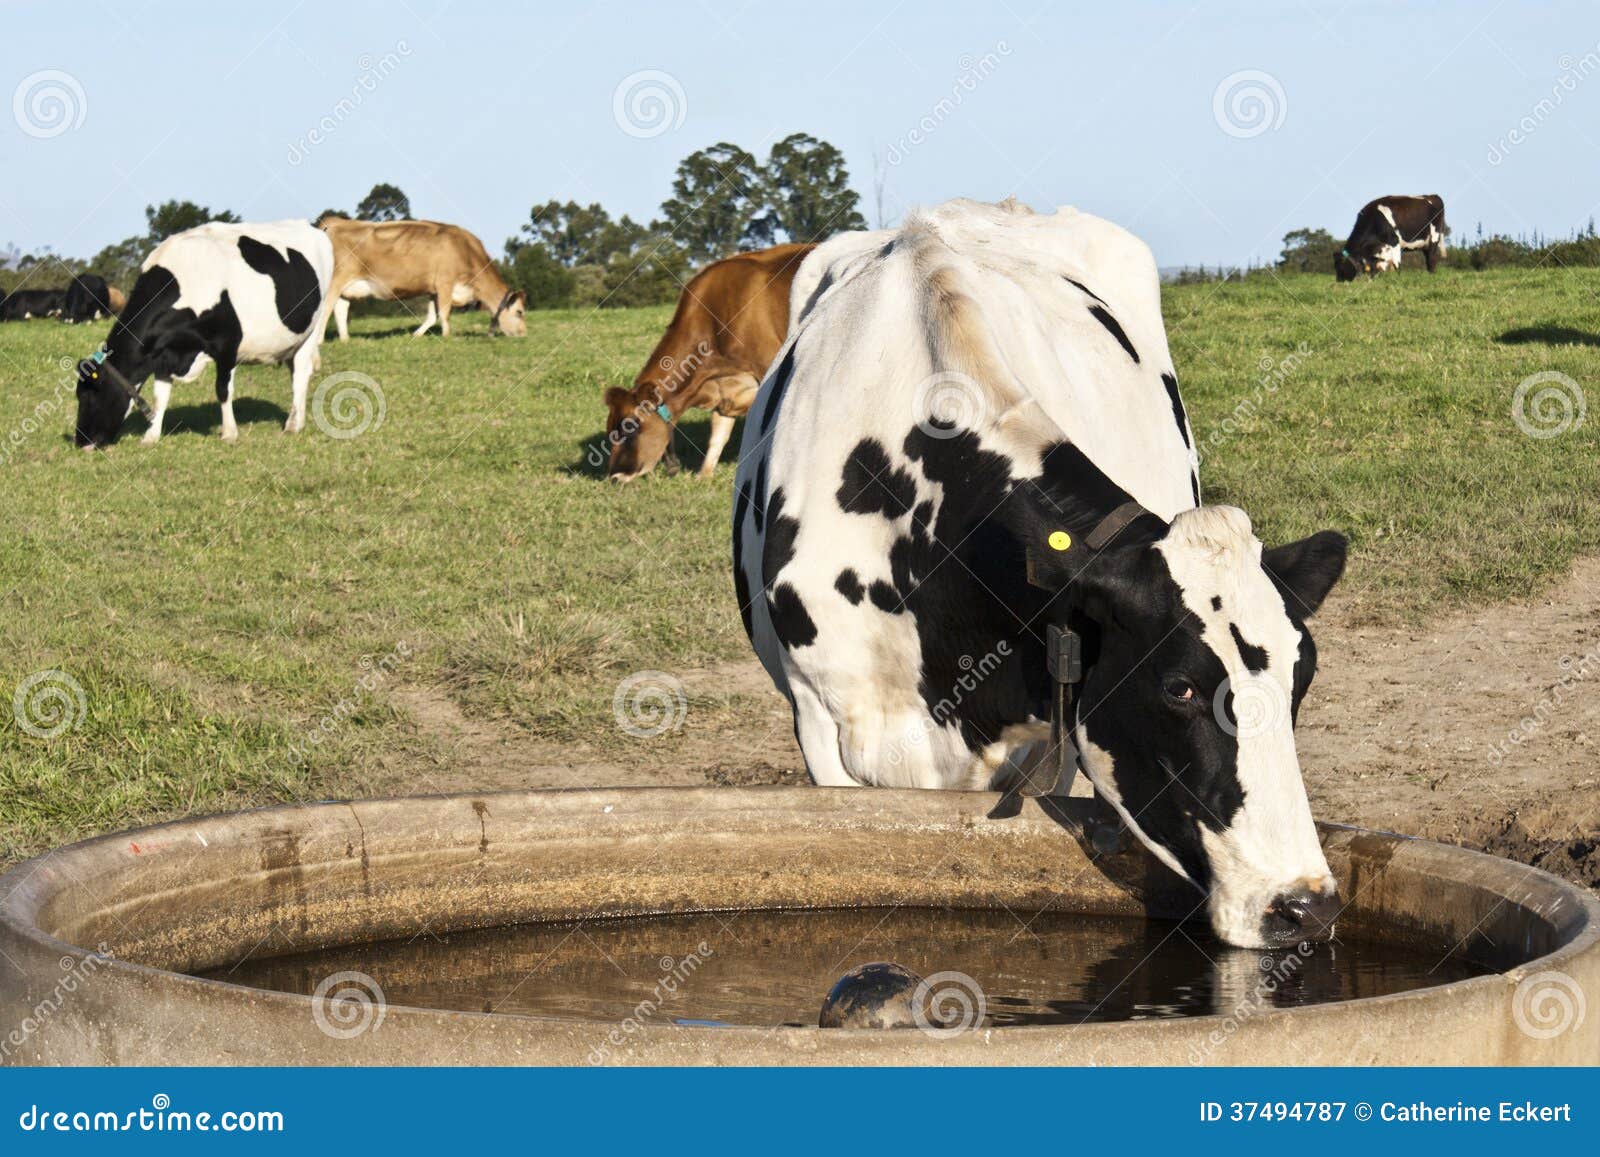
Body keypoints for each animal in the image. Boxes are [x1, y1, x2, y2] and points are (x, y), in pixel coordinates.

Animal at [74, 220, 333, 449]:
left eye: (88, 395)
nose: (80, 442)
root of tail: (313, 228)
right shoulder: (164, 354)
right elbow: (160, 396)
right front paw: (151, 436)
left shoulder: (228, 344)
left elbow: (223, 389)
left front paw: (229, 433)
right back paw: (297, 420)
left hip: (312, 329)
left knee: (301, 374)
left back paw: (292, 425)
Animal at [318, 216, 526, 340]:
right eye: (520, 312)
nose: (524, 333)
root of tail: (335, 222)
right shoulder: (445, 283)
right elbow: (444, 313)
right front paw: (447, 336)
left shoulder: (433, 290)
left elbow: (432, 316)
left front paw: (416, 334)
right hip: (334, 282)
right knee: (325, 310)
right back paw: (319, 341)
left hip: (346, 288)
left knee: (340, 310)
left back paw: (345, 339)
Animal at [601, 242, 814, 481]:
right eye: (609, 429)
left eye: (630, 426)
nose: (614, 475)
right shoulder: (727, 390)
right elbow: (718, 436)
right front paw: (703, 477)